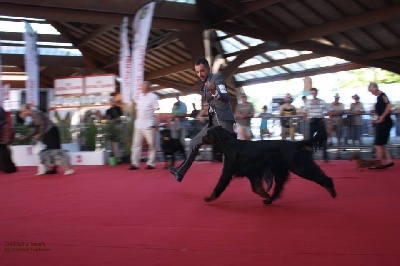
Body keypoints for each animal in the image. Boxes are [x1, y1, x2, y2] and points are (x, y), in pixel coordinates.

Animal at [202, 125, 336, 205]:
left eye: (208, 133)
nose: (202, 138)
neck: (229, 144)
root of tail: (294, 144)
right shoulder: (252, 173)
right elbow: (256, 188)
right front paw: (265, 194)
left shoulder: (227, 173)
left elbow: (218, 187)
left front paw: (209, 198)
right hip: (280, 170)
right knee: (278, 187)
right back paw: (269, 200)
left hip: (299, 166)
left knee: (321, 177)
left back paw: (332, 191)